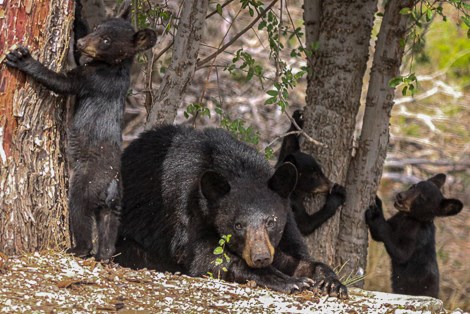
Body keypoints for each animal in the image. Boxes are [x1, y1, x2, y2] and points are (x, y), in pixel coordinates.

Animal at [115, 124, 346, 298]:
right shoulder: (186, 210)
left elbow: (294, 256)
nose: (260, 257)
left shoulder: (286, 221)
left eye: (271, 222)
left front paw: (330, 282)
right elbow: (204, 257)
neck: (236, 168)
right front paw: (287, 280)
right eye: (238, 225)